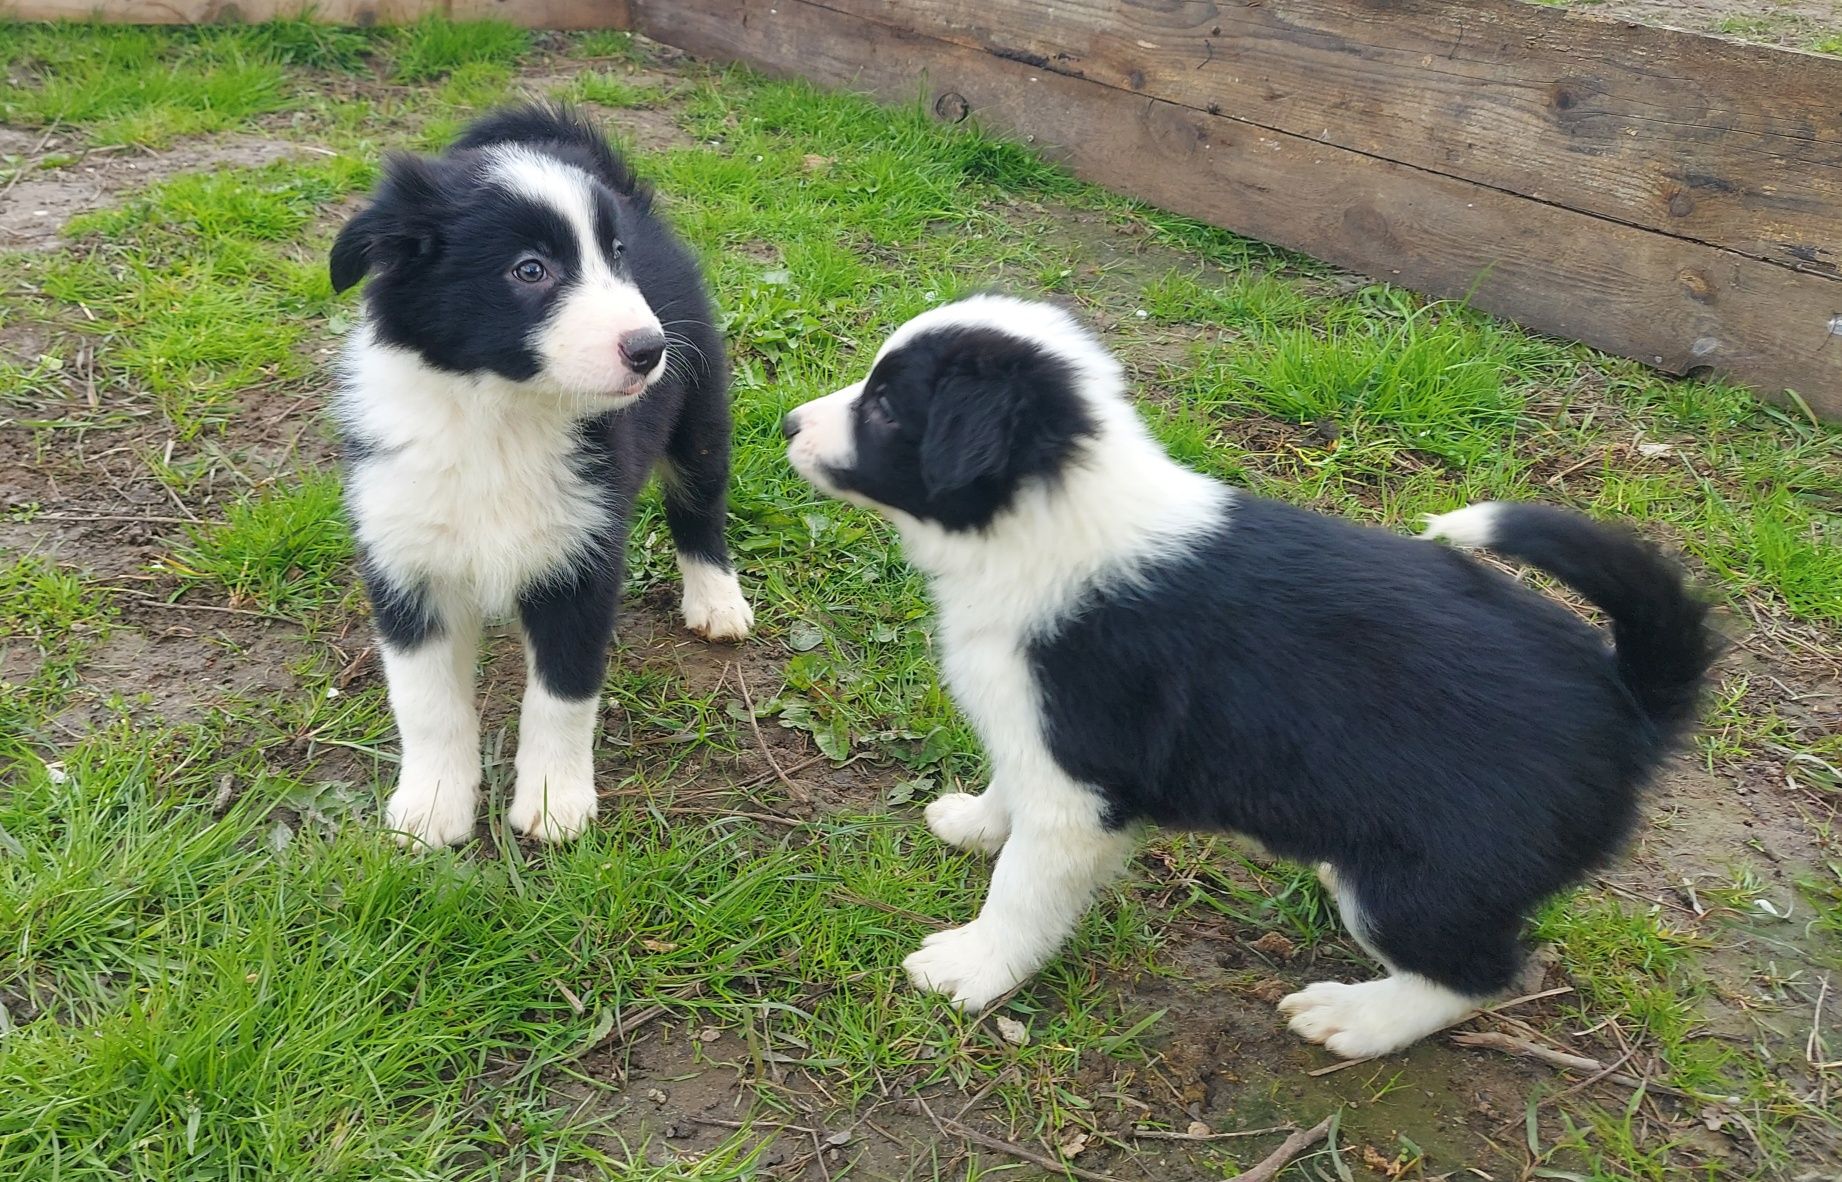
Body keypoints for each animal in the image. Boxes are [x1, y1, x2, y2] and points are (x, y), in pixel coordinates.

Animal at [327, 105, 751, 846]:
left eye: (615, 256)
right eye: (531, 270)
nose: (650, 350)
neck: (500, 414)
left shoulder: (582, 557)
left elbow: (563, 694)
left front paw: (555, 805)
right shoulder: (404, 560)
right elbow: (426, 701)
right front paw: (432, 807)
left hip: (699, 412)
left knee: (700, 506)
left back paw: (717, 601)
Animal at [777, 292, 1709, 1045]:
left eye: (887, 403)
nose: (787, 422)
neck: (1043, 521)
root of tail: (1631, 698)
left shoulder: (1081, 783)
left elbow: (1024, 890)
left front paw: (972, 967)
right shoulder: (1040, 738)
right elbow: (1009, 793)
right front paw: (975, 822)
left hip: (1428, 878)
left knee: (1479, 973)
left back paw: (1354, 1019)